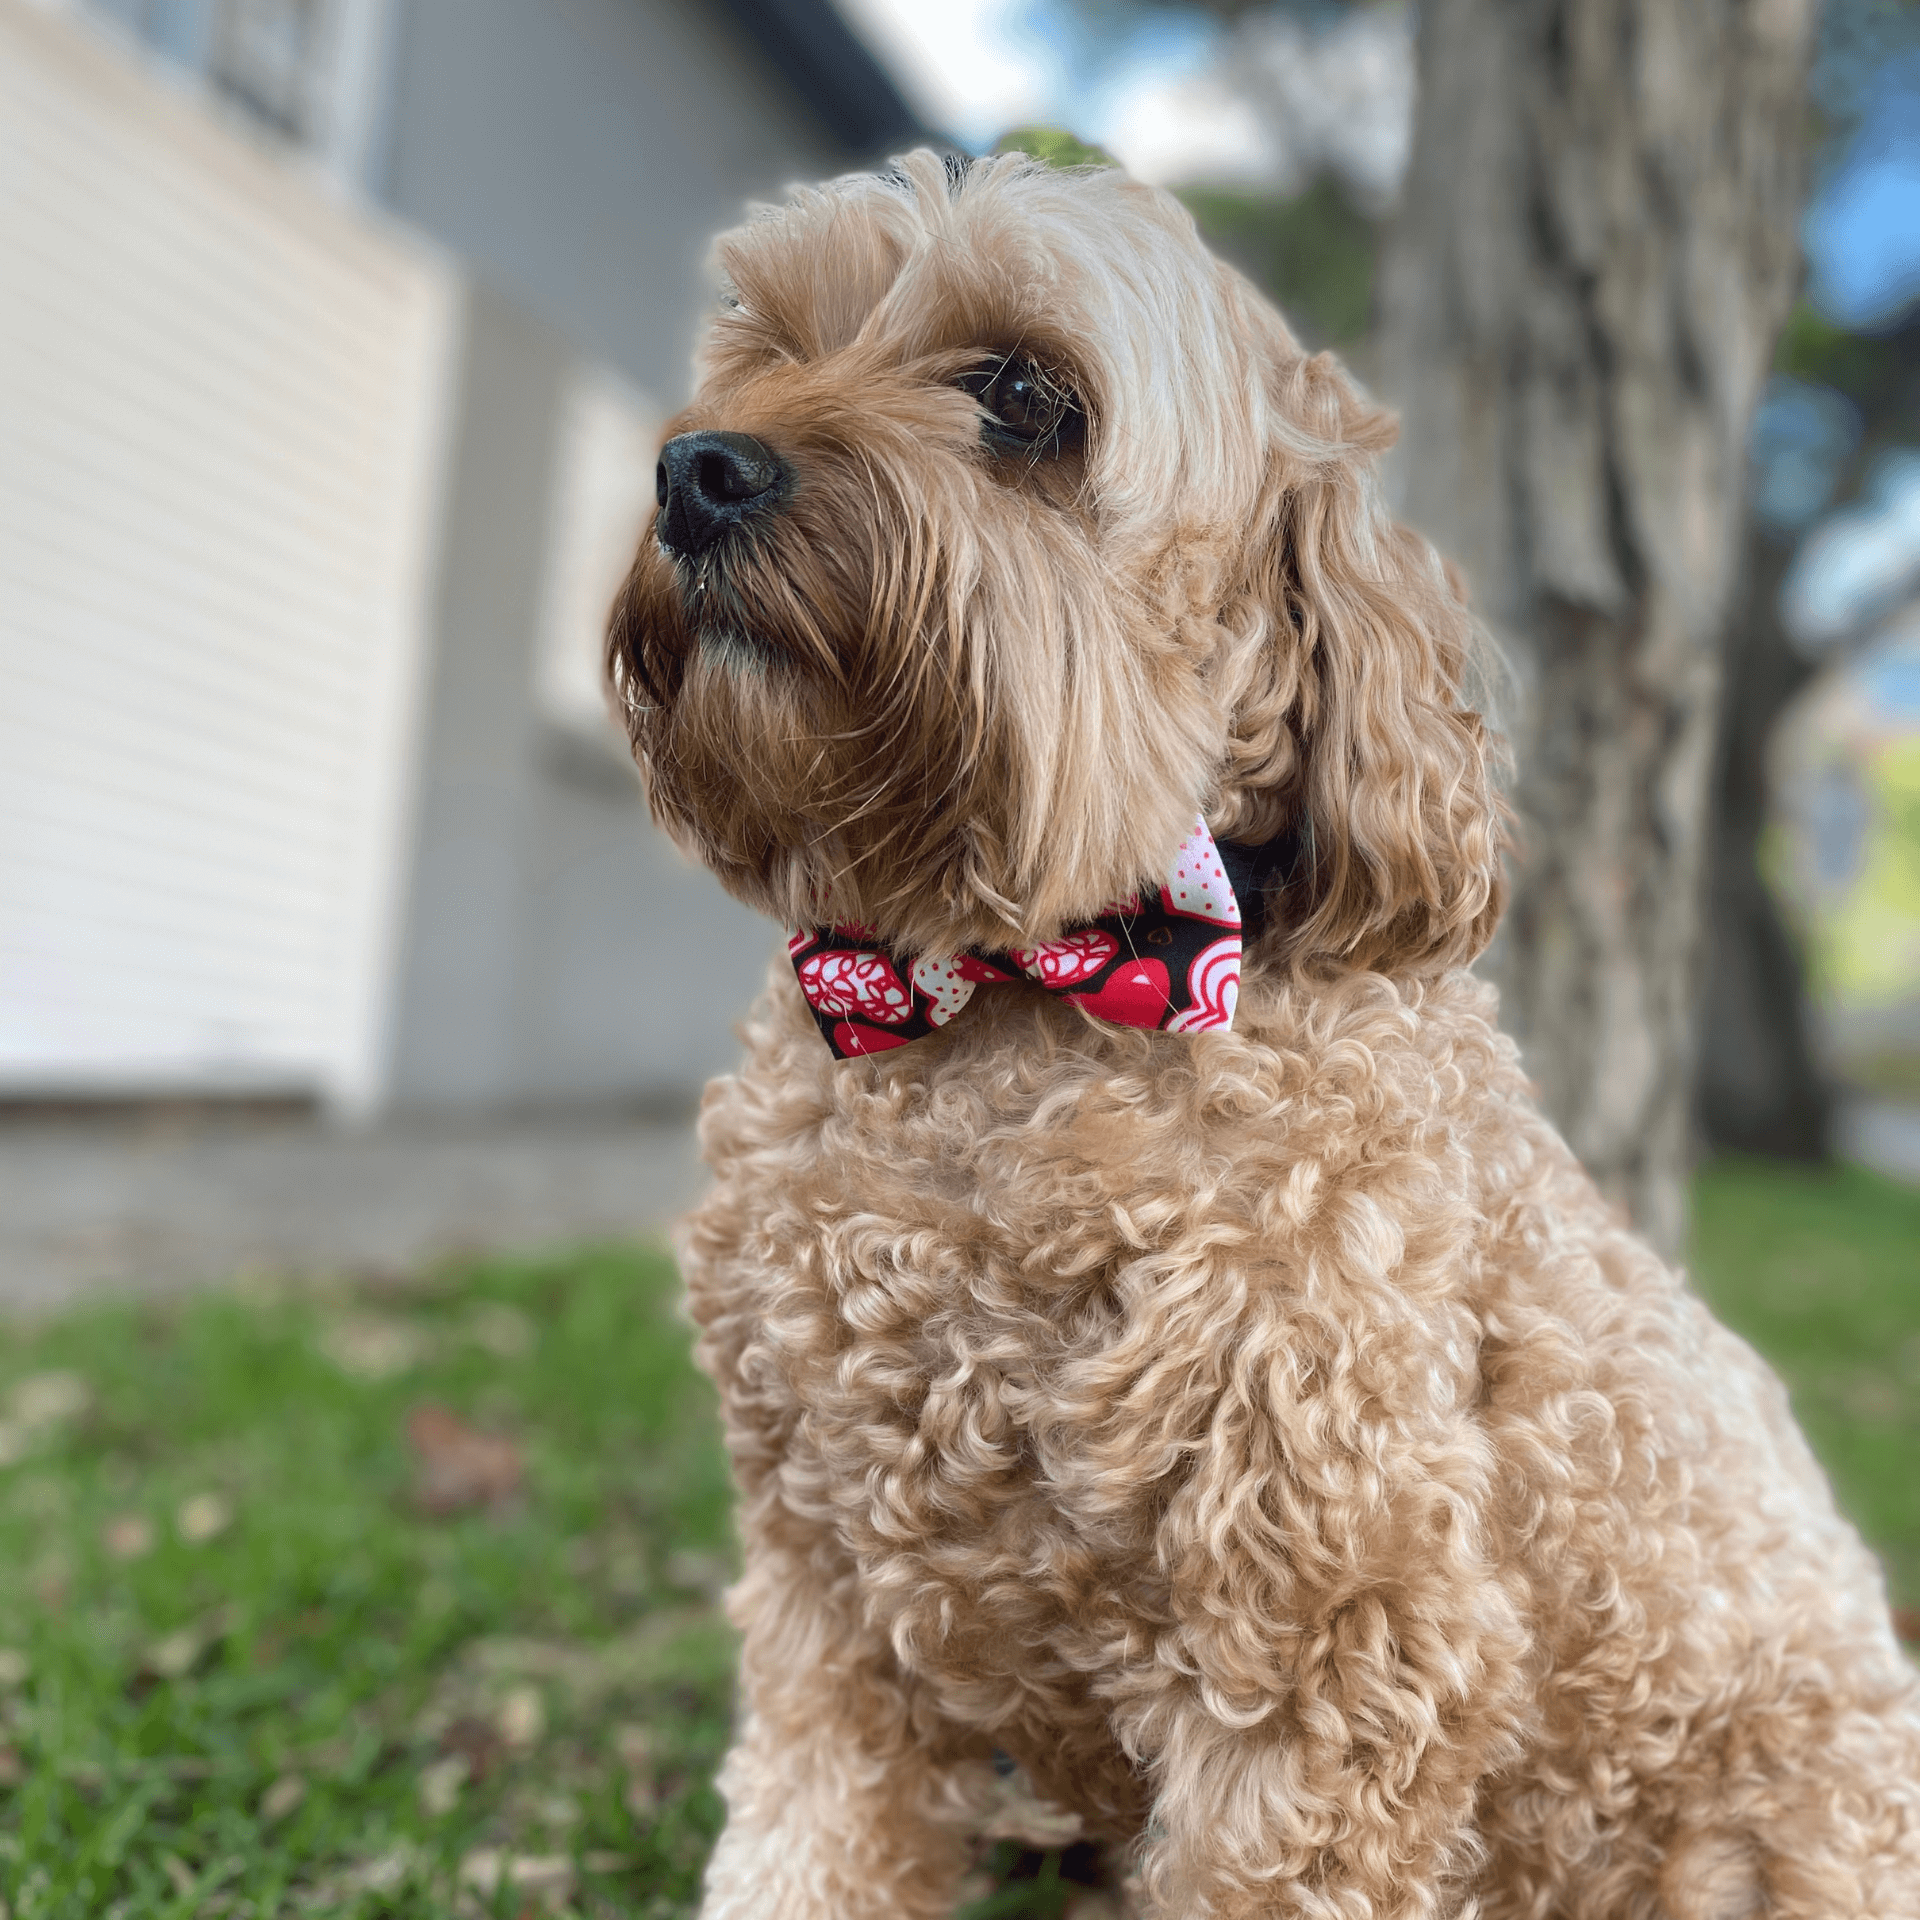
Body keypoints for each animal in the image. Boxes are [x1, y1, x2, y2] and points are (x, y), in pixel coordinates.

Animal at [602, 149, 1920, 1920]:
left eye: (1025, 395)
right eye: (771, 345)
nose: (697, 467)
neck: (1000, 1004)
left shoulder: (1331, 1639)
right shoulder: (828, 1599)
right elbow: (808, 1840)